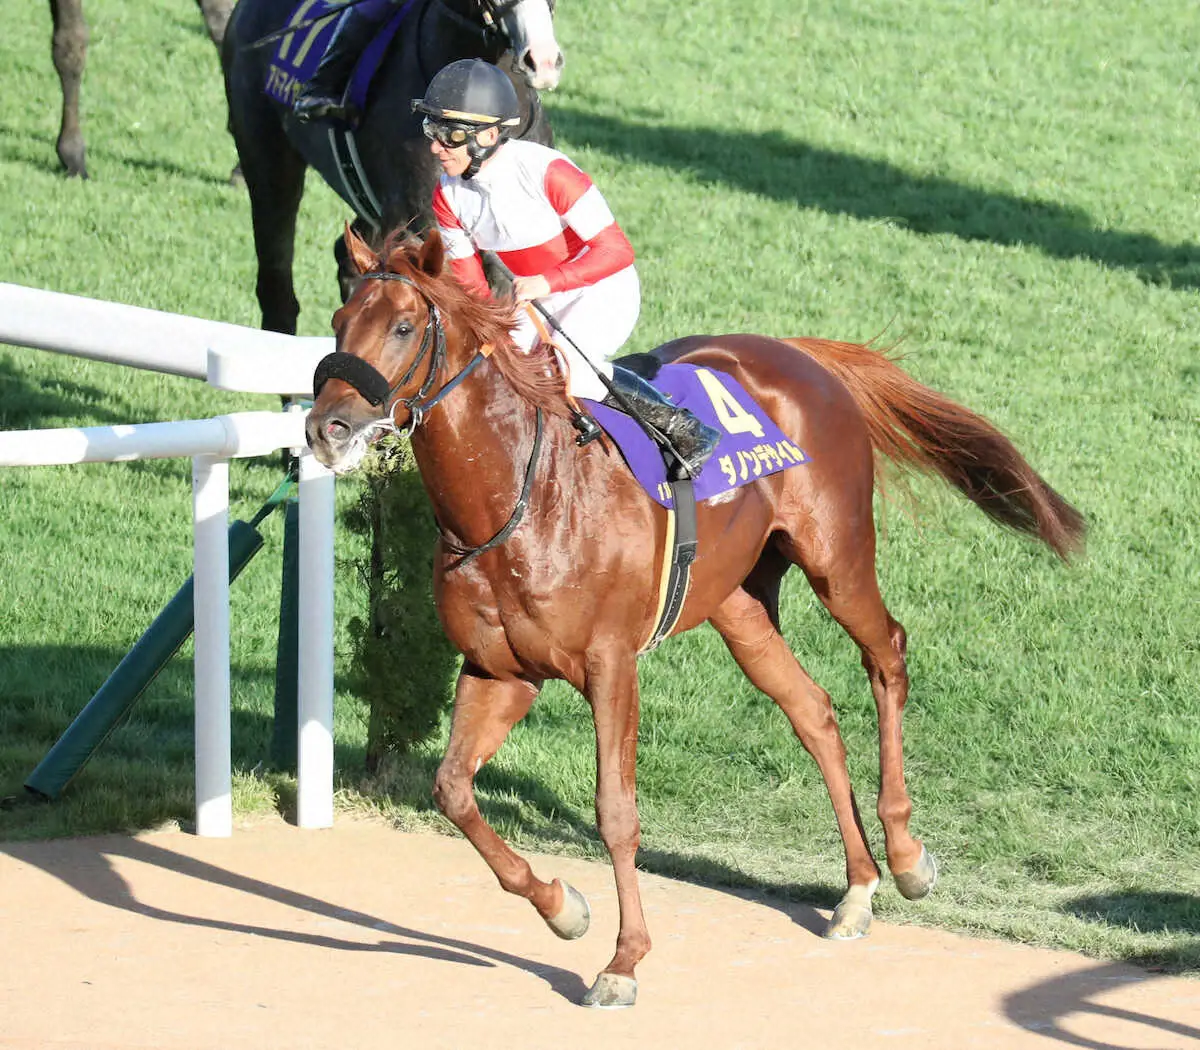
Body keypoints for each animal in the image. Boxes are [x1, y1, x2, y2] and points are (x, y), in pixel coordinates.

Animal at [304, 230, 1084, 1008]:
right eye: (339, 320)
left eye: (404, 326)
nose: (325, 428)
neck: (521, 499)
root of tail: (801, 352)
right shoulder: (500, 671)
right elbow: (453, 790)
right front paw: (563, 908)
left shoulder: (610, 665)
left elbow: (616, 812)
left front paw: (624, 962)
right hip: (738, 604)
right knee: (813, 710)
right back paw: (858, 889)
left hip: (836, 560)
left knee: (886, 654)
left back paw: (907, 856)